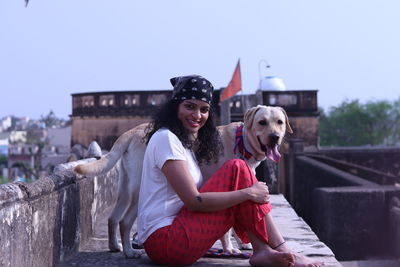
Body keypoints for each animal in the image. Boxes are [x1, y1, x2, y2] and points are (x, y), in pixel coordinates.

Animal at [75, 105, 292, 260]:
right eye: (262, 122)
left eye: (279, 122)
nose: (275, 137)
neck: (242, 142)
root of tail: (132, 131)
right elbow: (226, 229)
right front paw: (229, 249)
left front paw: (242, 243)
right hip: (138, 192)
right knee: (124, 221)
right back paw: (129, 252)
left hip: (125, 188)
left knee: (113, 218)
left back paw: (115, 246)